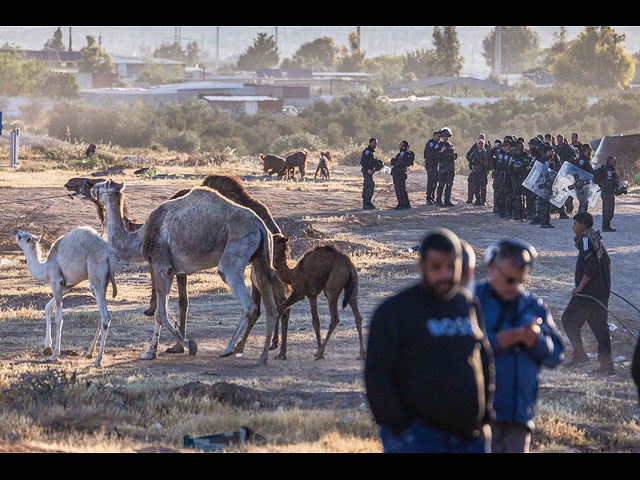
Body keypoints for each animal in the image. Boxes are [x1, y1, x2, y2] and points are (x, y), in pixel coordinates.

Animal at [11, 226, 119, 368]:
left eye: (21, 236)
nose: (15, 230)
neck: (45, 268)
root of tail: (109, 255)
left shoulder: (56, 281)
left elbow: (59, 318)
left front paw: (54, 355)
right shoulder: (67, 286)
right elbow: (47, 307)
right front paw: (47, 347)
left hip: (97, 278)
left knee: (106, 317)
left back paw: (97, 361)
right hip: (103, 282)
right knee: (101, 315)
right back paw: (89, 353)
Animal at [268, 232, 364, 360]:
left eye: (274, 239)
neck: (291, 273)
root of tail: (349, 266)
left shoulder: (299, 292)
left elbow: (280, 309)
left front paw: (277, 348)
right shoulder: (312, 295)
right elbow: (316, 322)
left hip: (332, 286)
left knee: (335, 317)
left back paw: (320, 352)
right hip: (353, 286)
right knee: (357, 316)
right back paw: (361, 354)